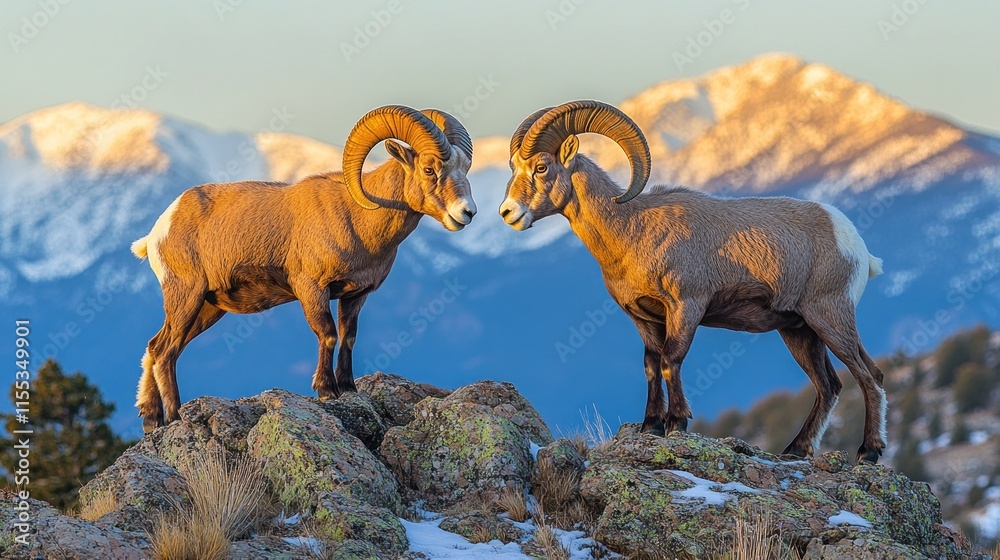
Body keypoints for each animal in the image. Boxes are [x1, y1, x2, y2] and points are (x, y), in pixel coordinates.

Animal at [131, 105, 476, 432]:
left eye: (464, 170)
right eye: (429, 169)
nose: (467, 213)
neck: (358, 219)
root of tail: (158, 232)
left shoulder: (355, 295)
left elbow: (348, 337)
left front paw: (347, 389)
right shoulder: (312, 289)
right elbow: (328, 334)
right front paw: (326, 390)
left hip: (207, 308)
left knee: (156, 347)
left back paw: (152, 419)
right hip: (187, 297)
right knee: (165, 351)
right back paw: (174, 415)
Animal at [500, 100, 886, 464]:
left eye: (541, 167)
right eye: (514, 168)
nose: (508, 213)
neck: (632, 230)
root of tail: (854, 244)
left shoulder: (686, 308)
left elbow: (671, 360)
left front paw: (677, 423)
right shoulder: (644, 319)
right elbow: (651, 366)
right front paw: (651, 426)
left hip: (829, 318)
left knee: (867, 377)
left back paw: (868, 453)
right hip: (800, 330)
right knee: (831, 384)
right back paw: (796, 450)